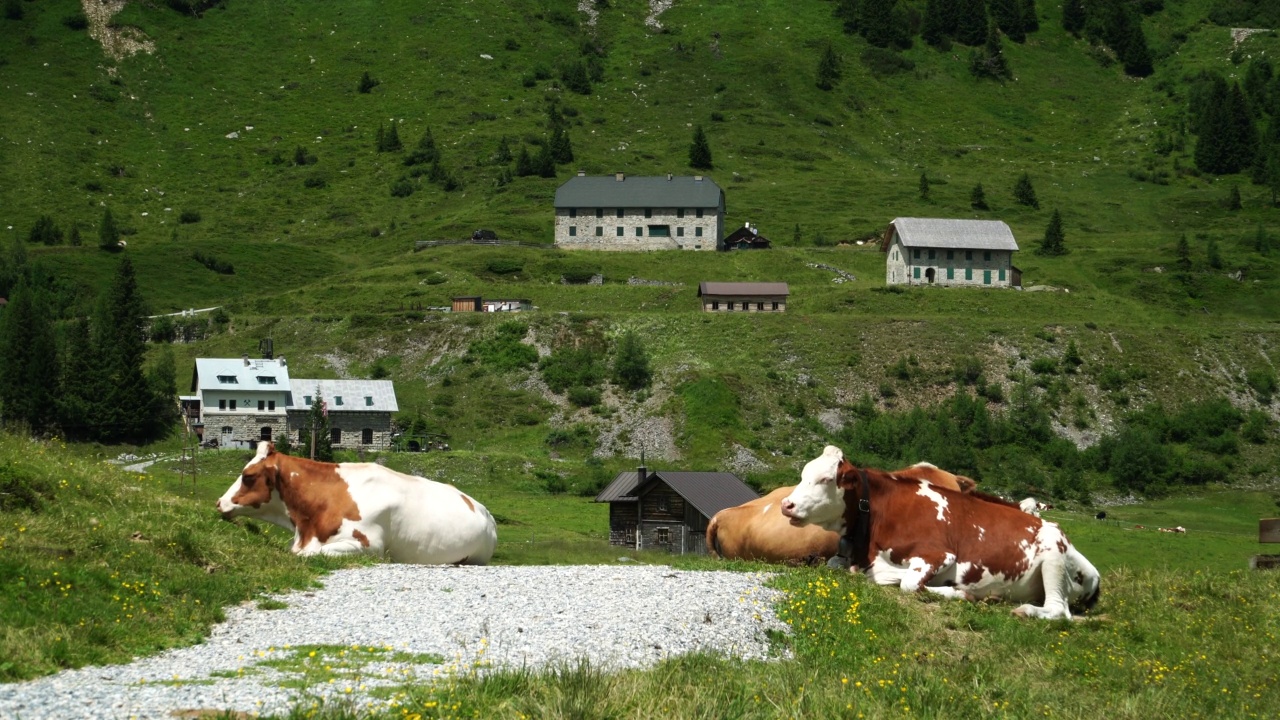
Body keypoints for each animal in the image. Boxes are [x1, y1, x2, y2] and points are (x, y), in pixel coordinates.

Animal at [778, 443, 1100, 617]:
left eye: (825, 479)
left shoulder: (938, 555)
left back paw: (1024, 610)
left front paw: (959, 592)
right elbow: (837, 565)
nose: (786, 504)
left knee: (1058, 610)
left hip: (1054, 555)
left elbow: (908, 583)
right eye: (803, 474)